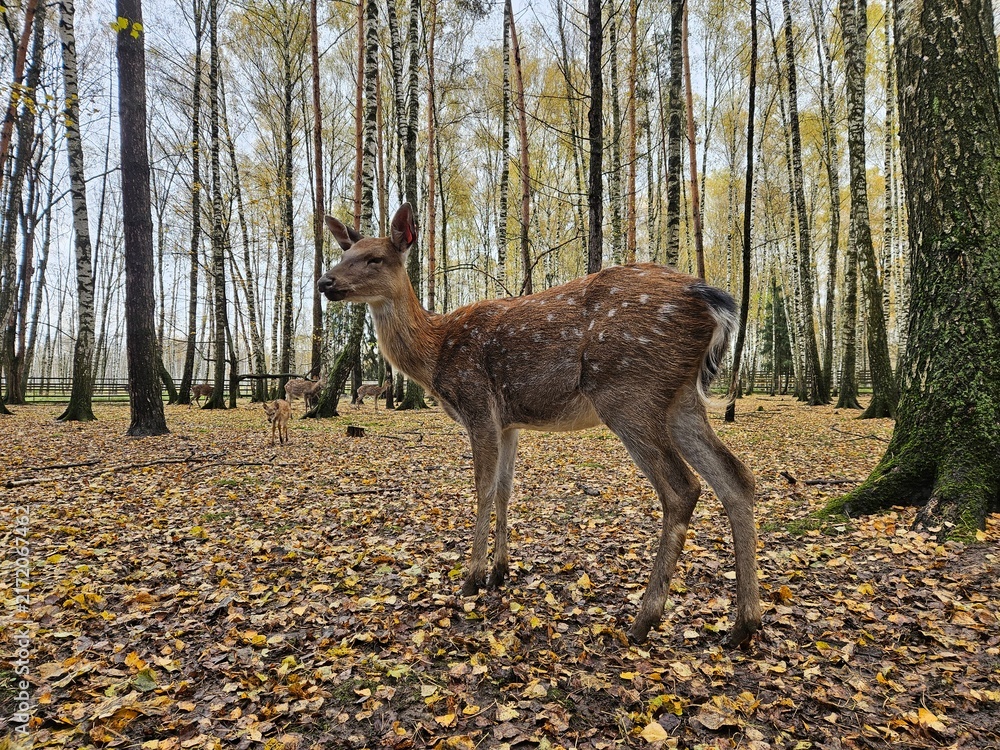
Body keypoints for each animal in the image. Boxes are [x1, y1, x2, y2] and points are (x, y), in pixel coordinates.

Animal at [317, 204, 761, 647]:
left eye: (375, 258)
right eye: (344, 252)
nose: (325, 281)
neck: (435, 352)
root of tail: (711, 300)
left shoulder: (477, 404)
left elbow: (483, 488)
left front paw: (471, 578)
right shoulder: (509, 422)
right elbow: (504, 489)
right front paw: (500, 572)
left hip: (629, 391)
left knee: (683, 488)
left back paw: (644, 620)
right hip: (681, 399)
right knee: (736, 477)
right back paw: (743, 625)